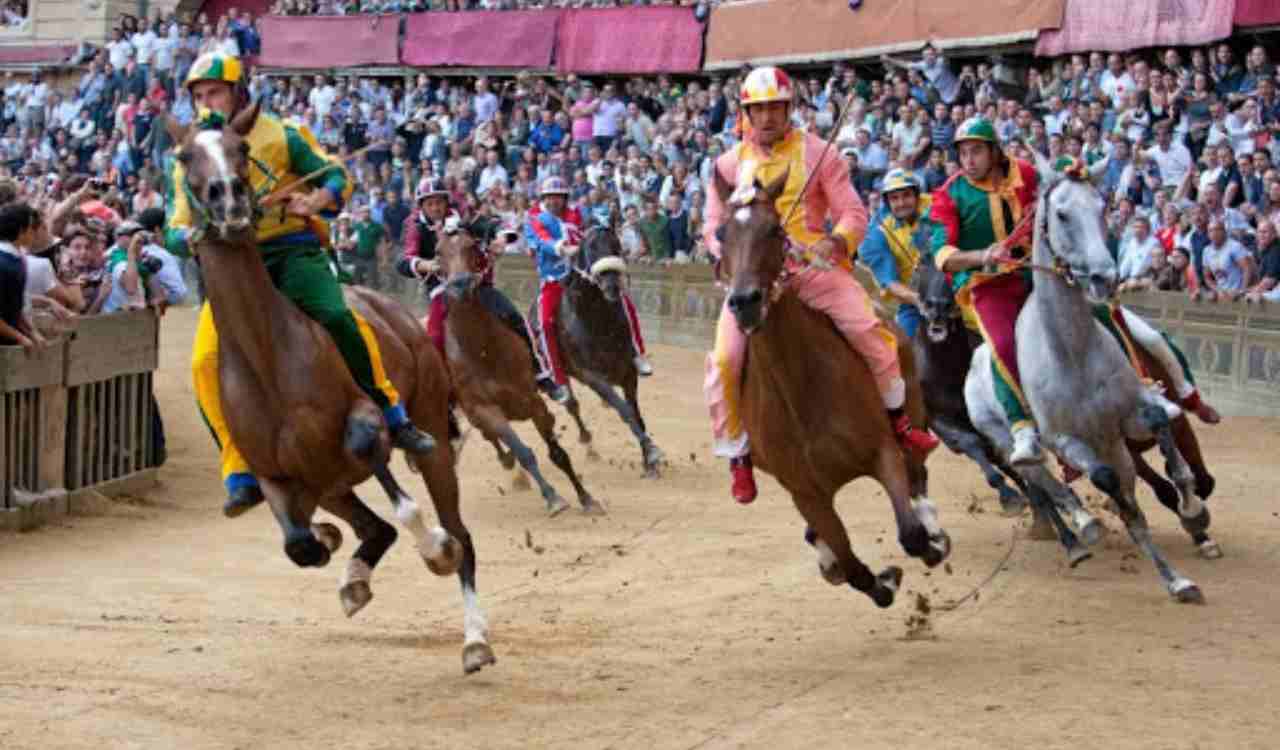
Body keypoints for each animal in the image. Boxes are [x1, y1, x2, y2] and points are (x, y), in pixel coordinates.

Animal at [435, 221, 604, 514]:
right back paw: (509, 464)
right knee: (493, 440)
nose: (459, 286)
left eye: (471, 245)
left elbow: (558, 453)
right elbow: (523, 452)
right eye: (437, 251)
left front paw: (586, 498)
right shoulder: (486, 410)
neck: (482, 349)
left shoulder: (532, 401)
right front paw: (553, 497)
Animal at [967, 151, 1208, 601]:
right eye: (1062, 214)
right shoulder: (1065, 440)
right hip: (1009, 441)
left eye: (1102, 208)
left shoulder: (1128, 416)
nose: (1103, 276)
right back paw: (1083, 529)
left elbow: (1160, 425)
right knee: (1045, 483)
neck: (1072, 352)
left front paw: (1192, 518)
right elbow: (1109, 485)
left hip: (1113, 441)